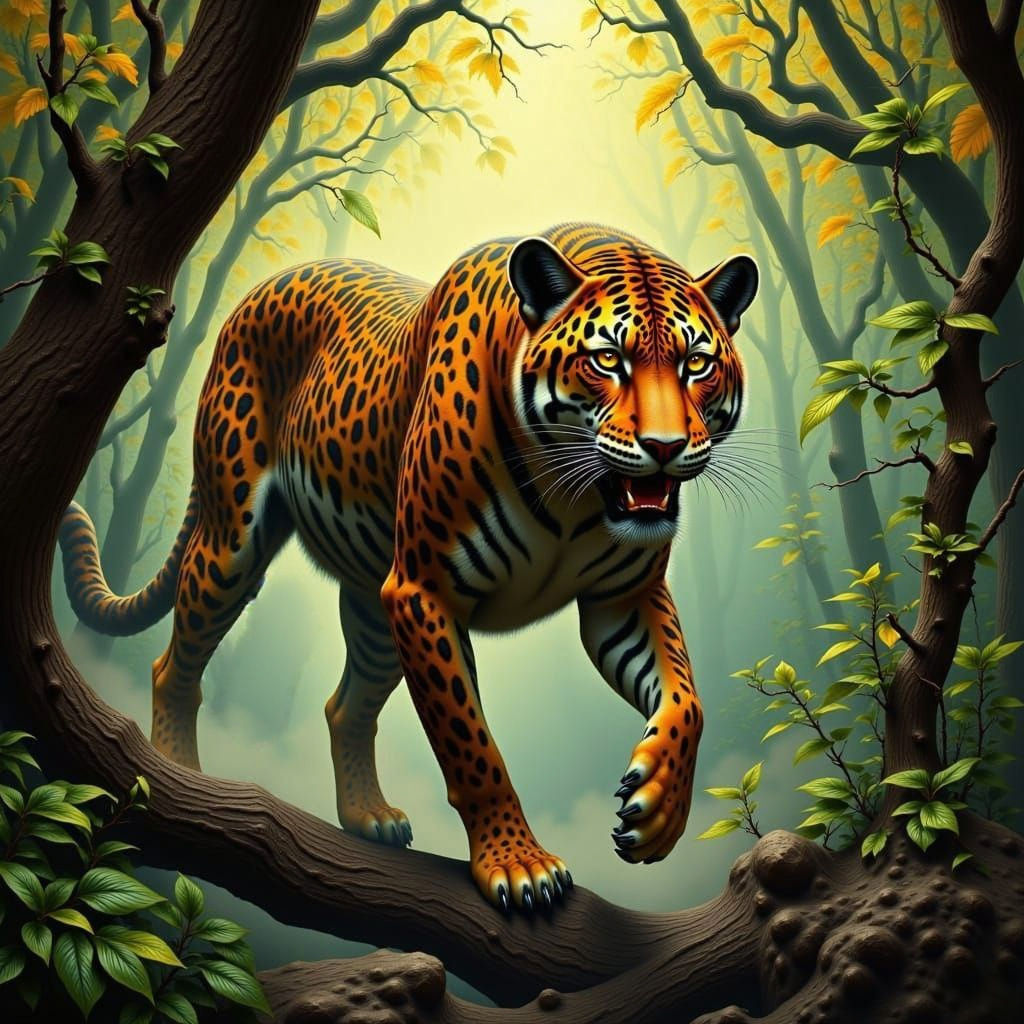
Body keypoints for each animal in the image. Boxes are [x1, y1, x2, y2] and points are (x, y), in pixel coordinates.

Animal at [60, 222, 757, 914]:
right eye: (608, 360)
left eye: (696, 363)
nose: (665, 448)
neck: (575, 497)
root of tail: (263, 287)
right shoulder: (426, 592)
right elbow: (472, 744)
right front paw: (518, 864)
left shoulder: (624, 597)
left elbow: (686, 697)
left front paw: (656, 812)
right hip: (233, 543)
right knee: (173, 666)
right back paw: (183, 773)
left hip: (374, 612)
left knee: (345, 707)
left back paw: (368, 816)